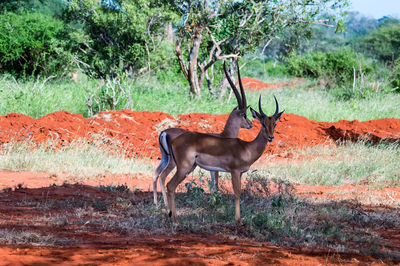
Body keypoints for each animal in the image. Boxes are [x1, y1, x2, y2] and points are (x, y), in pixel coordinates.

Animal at [152, 61, 250, 206]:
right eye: (244, 115)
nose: (250, 124)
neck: (224, 135)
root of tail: (163, 132)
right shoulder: (216, 168)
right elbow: (216, 184)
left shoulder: (211, 169)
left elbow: (213, 184)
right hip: (175, 163)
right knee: (163, 176)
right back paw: (165, 203)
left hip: (165, 158)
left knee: (155, 173)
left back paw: (156, 203)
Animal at [166, 70, 284, 222]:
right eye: (263, 123)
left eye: (274, 123)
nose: (270, 137)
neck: (247, 148)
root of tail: (174, 140)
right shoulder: (234, 171)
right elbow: (237, 193)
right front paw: (238, 220)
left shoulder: (240, 173)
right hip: (184, 167)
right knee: (170, 186)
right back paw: (174, 220)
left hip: (190, 167)